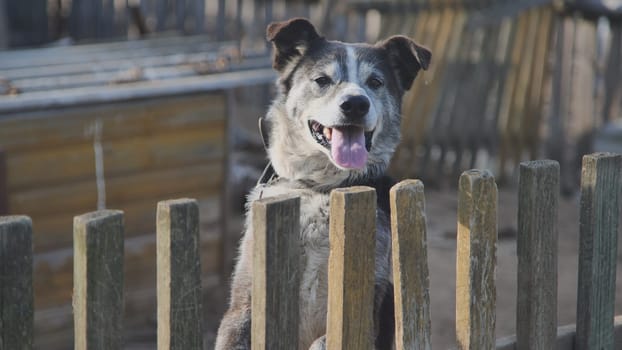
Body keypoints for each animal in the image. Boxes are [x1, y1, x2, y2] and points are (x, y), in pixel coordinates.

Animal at [217, 17, 432, 348]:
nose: (355, 104)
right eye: (322, 80)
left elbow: (322, 340)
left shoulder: (363, 312)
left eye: (375, 82)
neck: (318, 186)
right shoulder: (243, 306)